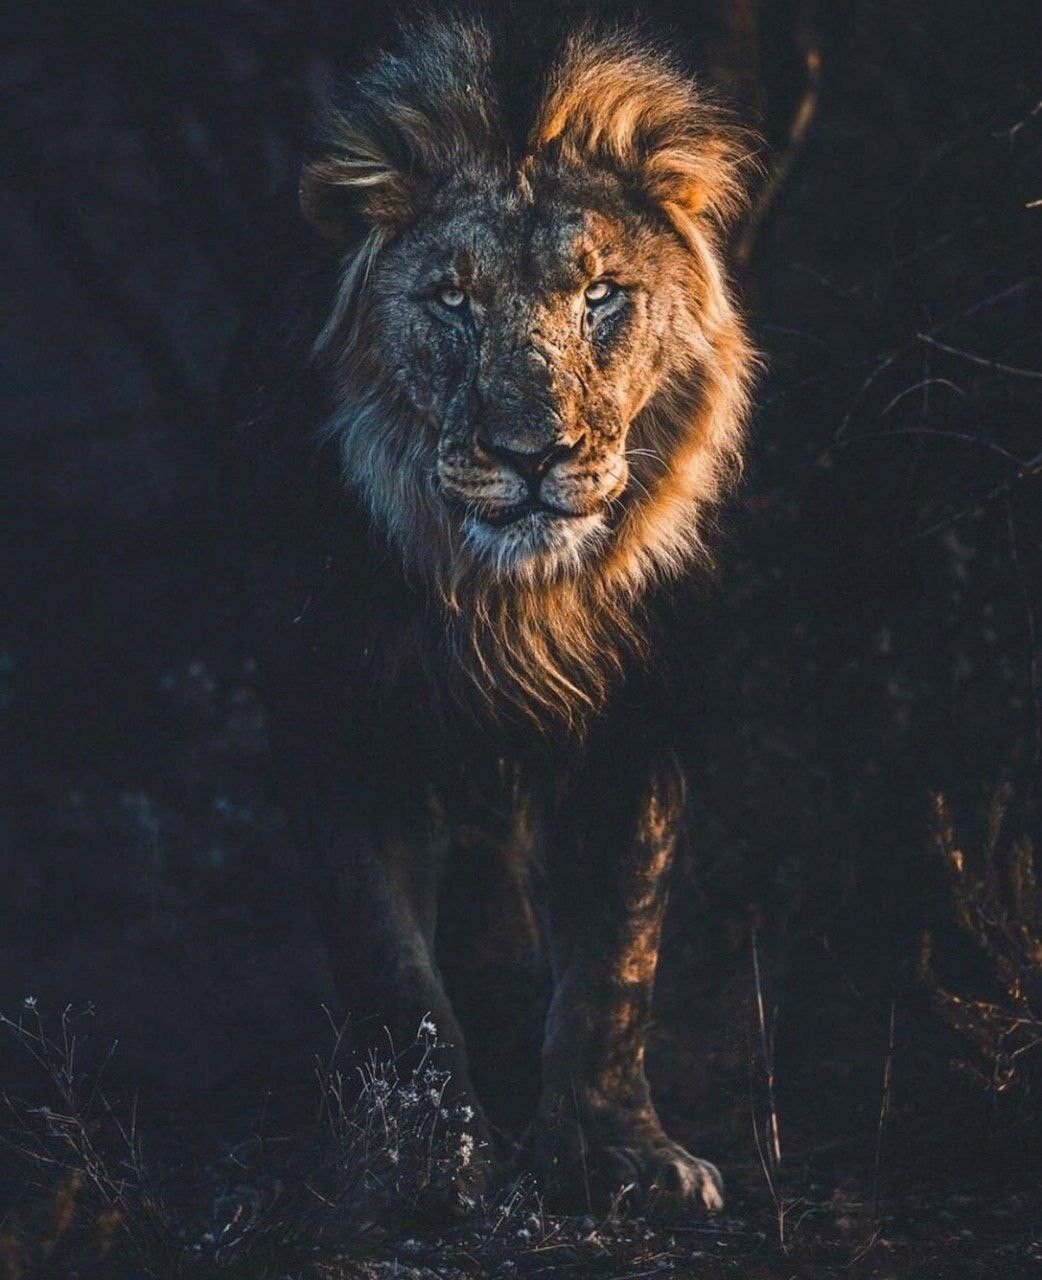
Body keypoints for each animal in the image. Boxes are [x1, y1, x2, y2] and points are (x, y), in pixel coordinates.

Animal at [227, 14, 755, 1214]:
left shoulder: (641, 724)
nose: (533, 454)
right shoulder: (339, 720)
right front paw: (424, 1156)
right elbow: (392, 975)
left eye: (600, 295)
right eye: (451, 301)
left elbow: (616, 958)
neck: (511, 604)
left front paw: (621, 1152)